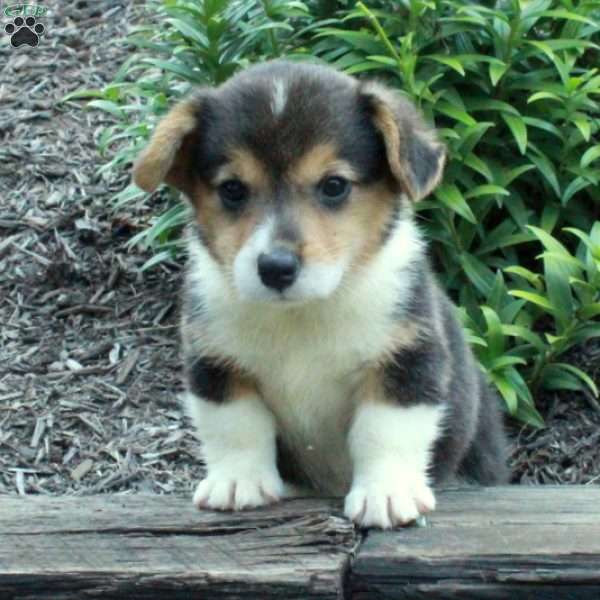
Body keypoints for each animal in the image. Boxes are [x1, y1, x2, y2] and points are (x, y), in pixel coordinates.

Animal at [134, 62, 508, 528]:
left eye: (334, 185)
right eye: (232, 189)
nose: (276, 268)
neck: (303, 314)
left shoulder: (408, 358)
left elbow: (383, 429)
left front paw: (386, 493)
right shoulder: (215, 362)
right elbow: (236, 425)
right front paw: (238, 483)